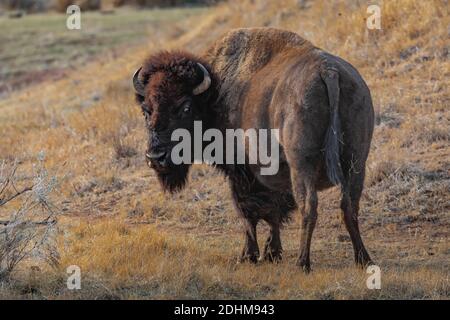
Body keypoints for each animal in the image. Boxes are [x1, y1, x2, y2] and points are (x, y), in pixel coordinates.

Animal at [132, 28, 374, 272]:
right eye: (146, 110)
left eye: (185, 107)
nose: (156, 157)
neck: (215, 93)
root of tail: (328, 72)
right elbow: (274, 212)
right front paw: (271, 252)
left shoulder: (241, 172)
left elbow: (248, 212)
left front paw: (249, 255)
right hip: (356, 161)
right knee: (349, 206)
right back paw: (363, 258)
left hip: (302, 165)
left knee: (309, 206)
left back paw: (302, 263)